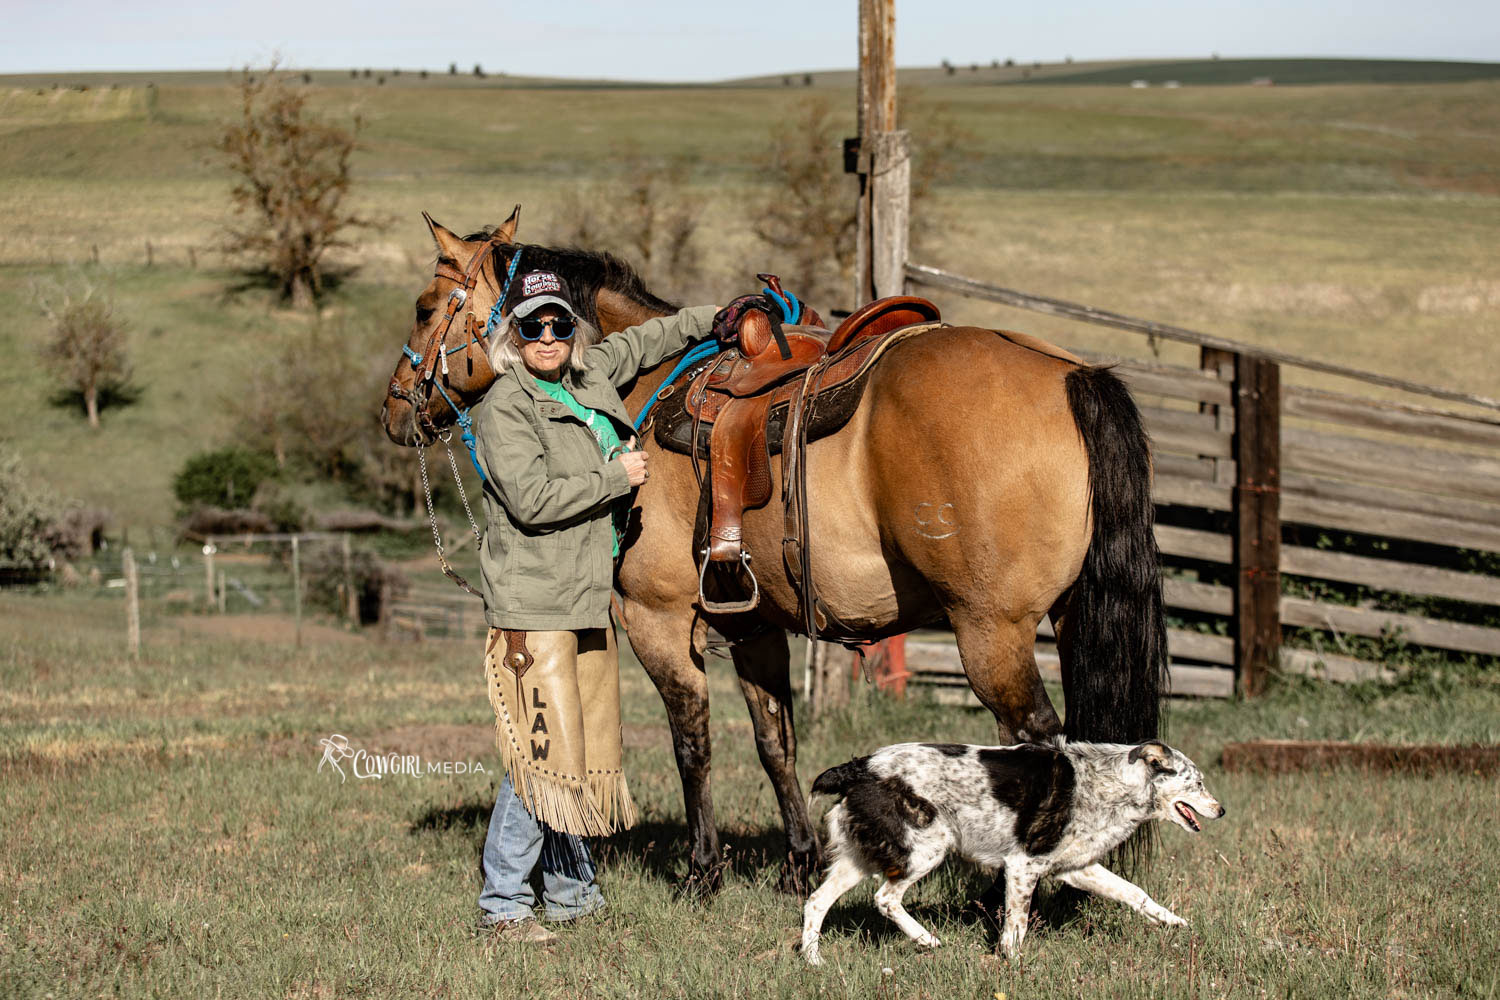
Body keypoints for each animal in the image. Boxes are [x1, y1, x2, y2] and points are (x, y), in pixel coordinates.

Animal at [381, 209, 1164, 893]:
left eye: (424, 306)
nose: (393, 409)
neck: (638, 391)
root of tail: (1071, 375)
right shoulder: (753, 625)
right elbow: (774, 742)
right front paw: (798, 863)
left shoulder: (658, 619)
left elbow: (692, 744)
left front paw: (702, 871)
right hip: (1066, 618)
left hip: (990, 633)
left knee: (1039, 744)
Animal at [804, 740, 1224, 965]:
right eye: (1199, 783)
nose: (1221, 810)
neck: (1115, 784)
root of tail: (861, 767)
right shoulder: (1023, 866)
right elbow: (1017, 924)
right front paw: (1014, 963)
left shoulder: (1078, 868)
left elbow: (1137, 894)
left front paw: (1175, 923)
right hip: (926, 850)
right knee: (885, 898)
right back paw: (925, 939)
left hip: (860, 860)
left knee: (815, 902)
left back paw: (813, 960)